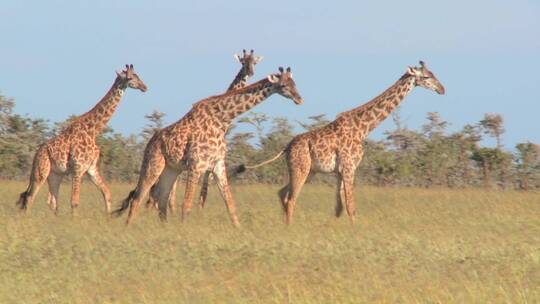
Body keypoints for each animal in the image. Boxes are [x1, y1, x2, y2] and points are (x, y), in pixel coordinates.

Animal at [16, 65, 148, 215]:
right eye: (131, 78)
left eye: (138, 75)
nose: (145, 87)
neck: (93, 131)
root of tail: (36, 154)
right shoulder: (78, 168)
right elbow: (74, 202)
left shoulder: (91, 168)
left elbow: (107, 194)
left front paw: (108, 218)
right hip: (41, 170)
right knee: (30, 196)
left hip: (55, 174)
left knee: (52, 201)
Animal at [113, 67, 304, 227]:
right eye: (284, 85)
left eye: (295, 83)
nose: (299, 99)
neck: (221, 120)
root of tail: (150, 143)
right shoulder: (196, 165)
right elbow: (187, 205)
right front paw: (183, 232)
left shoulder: (218, 164)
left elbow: (230, 204)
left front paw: (239, 230)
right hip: (153, 164)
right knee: (138, 198)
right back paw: (127, 228)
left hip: (171, 169)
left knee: (161, 200)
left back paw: (164, 228)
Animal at [146, 49, 264, 211]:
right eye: (243, 62)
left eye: (254, 62)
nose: (250, 72)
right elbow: (203, 193)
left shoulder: (209, 166)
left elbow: (204, 193)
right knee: (159, 194)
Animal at [238, 61, 446, 223]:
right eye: (426, 76)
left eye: (433, 73)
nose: (442, 89)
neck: (363, 128)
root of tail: (287, 147)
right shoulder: (349, 167)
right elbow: (351, 207)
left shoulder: (339, 171)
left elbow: (339, 208)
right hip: (301, 168)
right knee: (290, 199)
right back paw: (289, 228)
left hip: (309, 170)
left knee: (282, 193)